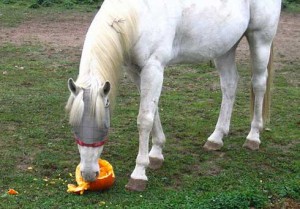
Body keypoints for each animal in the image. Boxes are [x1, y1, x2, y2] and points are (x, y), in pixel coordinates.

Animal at [65, 0, 282, 191]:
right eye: (74, 126)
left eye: (104, 126)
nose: (88, 174)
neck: (138, 14)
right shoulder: (136, 71)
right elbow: (153, 112)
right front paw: (156, 154)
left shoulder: (153, 68)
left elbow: (144, 119)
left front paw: (139, 174)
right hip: (225, 48)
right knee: (229, 85)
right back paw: (216, 138)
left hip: (260, 40)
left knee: (259, 84)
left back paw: (253, 137)